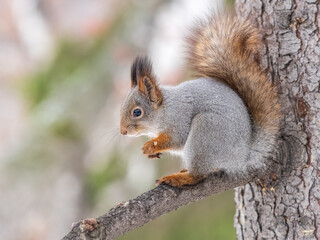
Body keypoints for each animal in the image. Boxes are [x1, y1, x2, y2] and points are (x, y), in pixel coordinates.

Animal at [119, 13, 280, 188]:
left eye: (137, 112)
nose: (123, 131)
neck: (165, 110)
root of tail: (241, 157)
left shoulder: (179, 118)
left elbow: (177, 139)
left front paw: (151, 146)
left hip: (205, 133)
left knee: (198, 175)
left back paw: (179, 178)